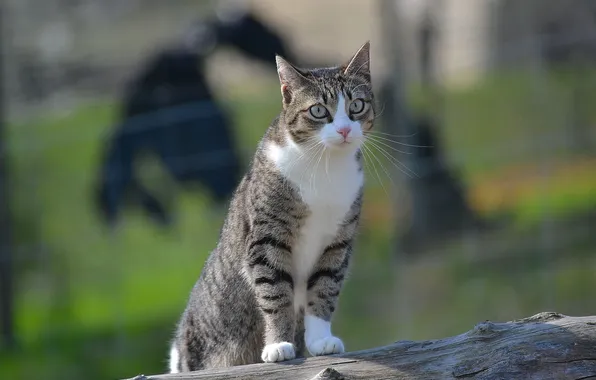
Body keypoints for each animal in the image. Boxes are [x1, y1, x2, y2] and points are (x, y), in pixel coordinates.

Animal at [169, 41, 372, 372]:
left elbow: (324, 288)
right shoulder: (267, 238)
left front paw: (320, 341)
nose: (344, 130)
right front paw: (278, 344)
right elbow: (275, 293)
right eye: (318, 110)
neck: (325, 166)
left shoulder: (337, 242)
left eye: (356, 105)